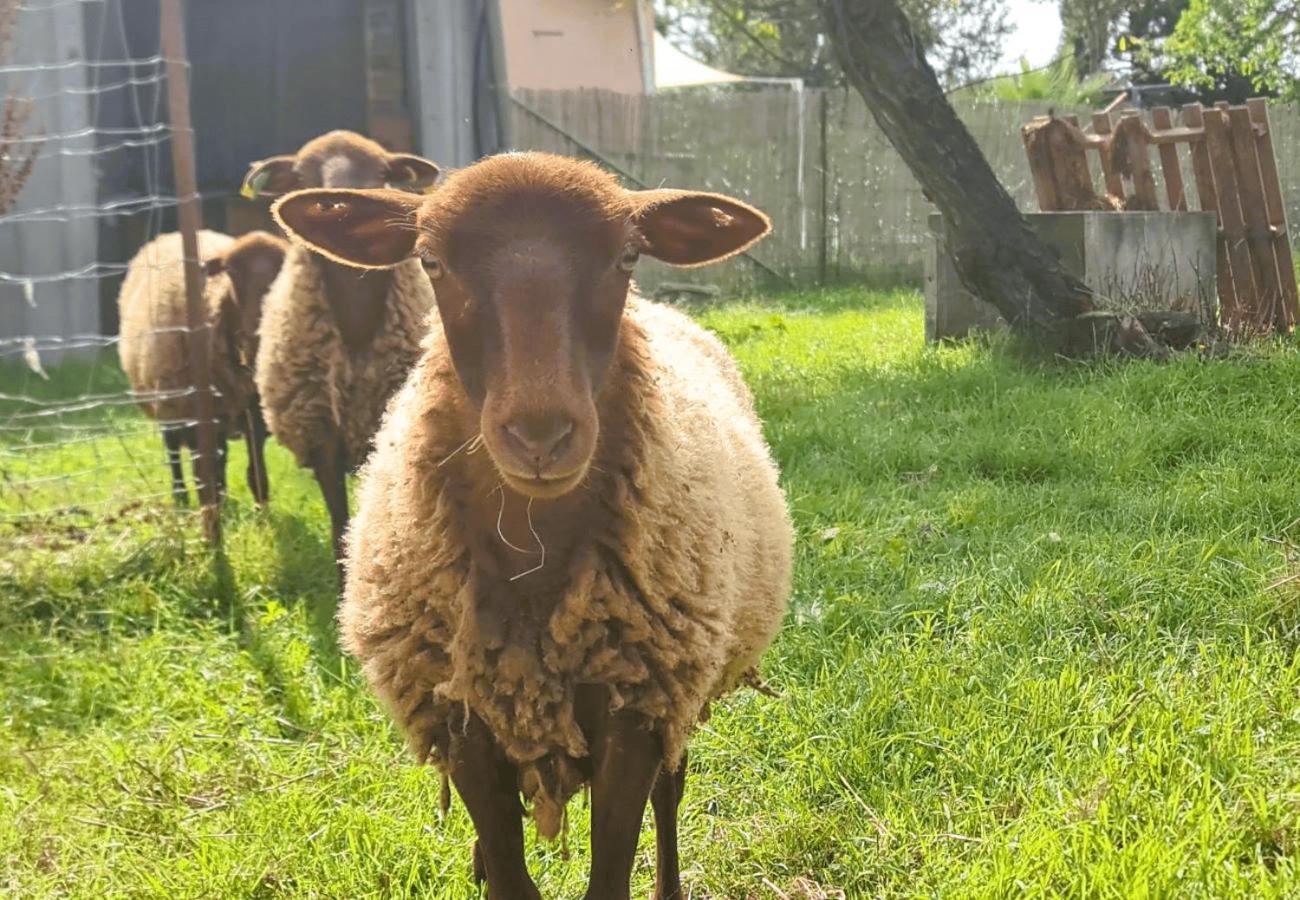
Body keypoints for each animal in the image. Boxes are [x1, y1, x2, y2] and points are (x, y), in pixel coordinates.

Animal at [117, 228, 287, 507]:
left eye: (283, 268)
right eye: (231, 271)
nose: (259, 325)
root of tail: (169, 235)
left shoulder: (255, 417)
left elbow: (257, 475)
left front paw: (262, 511)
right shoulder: (192, 415)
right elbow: (201, 475)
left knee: (219, 459)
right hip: (169, 405)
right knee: (175, 454)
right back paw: (182, 499)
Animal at [271, 154, 790, 900]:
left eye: (627, 256)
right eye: (430, 261)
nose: (541, 435)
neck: (533, 554)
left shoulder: (635, 708)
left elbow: (612, 872)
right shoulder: (462, 717)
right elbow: (513, 877)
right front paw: (491, 868)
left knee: (673, 787)